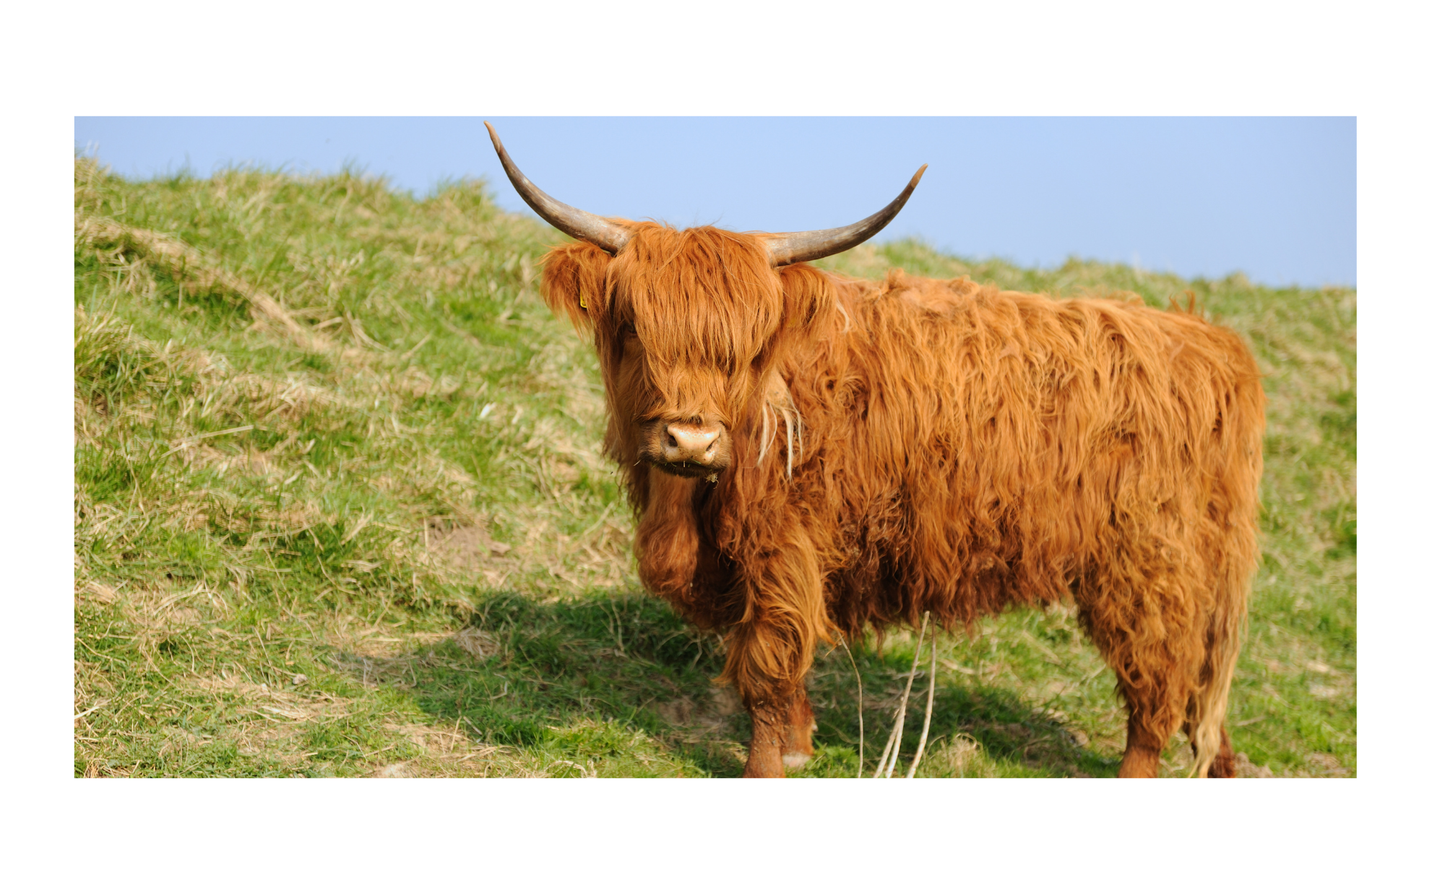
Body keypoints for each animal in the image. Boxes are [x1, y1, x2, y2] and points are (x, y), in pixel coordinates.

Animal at [485, 122, 1265, 778]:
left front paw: (767, 767)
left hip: (1147, 563)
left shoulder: (783, 546)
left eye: (747, 348)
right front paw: (798, 747)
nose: (691, 437)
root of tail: (1208, 340)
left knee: (1157, 680)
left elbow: (768, 661)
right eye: (635, 330)